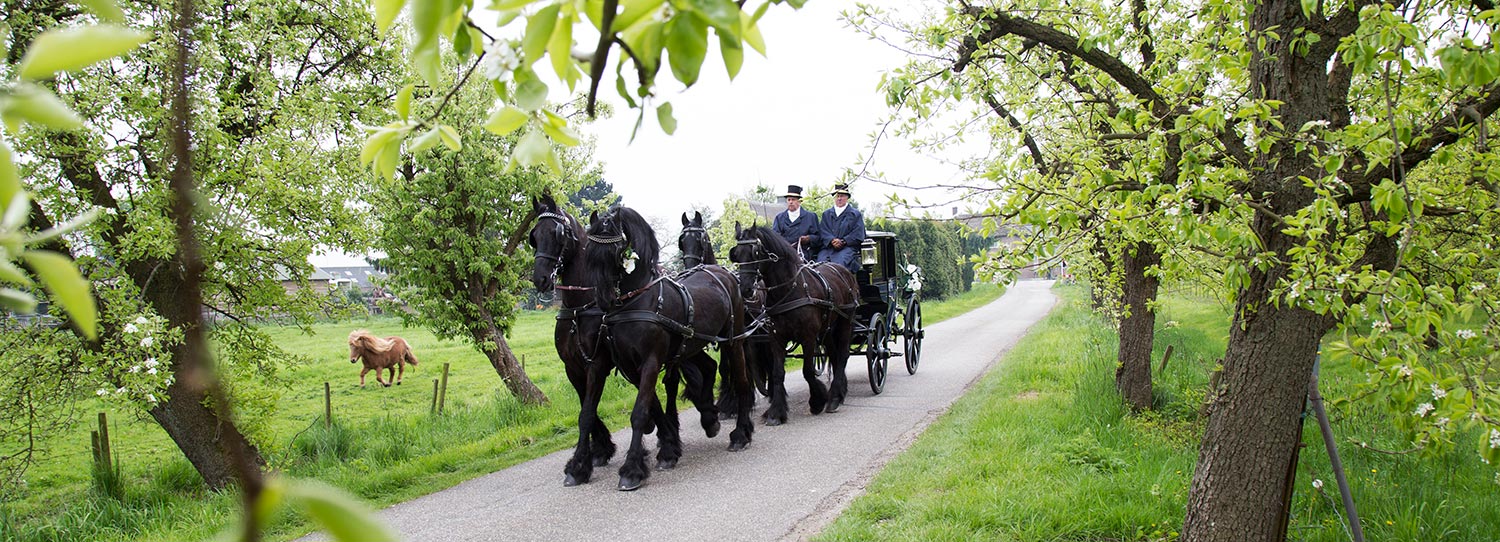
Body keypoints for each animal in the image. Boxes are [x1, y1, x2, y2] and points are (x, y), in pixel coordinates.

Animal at [582, 204, 756, 489]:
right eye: (589, 249)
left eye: (617, 250)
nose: (603, 298)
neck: (637, 299)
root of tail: (720, 272)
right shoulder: (628, 366)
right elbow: (650, 406)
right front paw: (667, 450)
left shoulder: (651, 362)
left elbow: (640, 412)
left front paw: (632, 470)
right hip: (694, 345)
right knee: (710, 369)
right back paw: (710, 420)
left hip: (734, 341)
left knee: (741, 380)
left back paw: (740, 434)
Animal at [726, 222, 858, 423]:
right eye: (736, 254)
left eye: (755, 252)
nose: (746, 289)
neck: (789, 290)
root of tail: (843, 271)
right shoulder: (776, 338)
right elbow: (777, 373)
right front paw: (776, 412)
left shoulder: (808, 337)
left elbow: (808, 370)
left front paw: (817, 400)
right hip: (828, 329)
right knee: (835, 356)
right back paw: (840, 392)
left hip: (845, 322)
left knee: (843, 355)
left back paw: (834, 398)